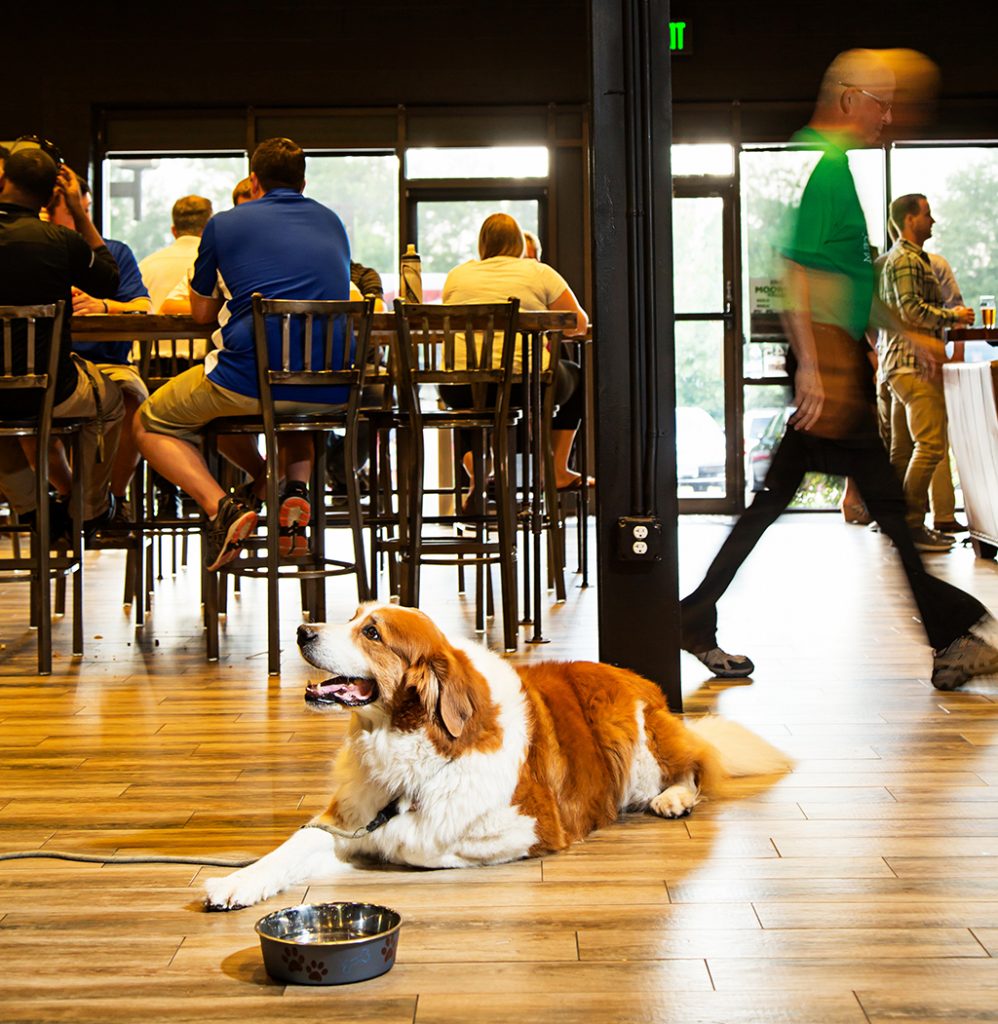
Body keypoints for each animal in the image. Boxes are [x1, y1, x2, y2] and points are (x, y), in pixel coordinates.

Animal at [202, 602, 790, 909]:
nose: (302, 629)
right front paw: (238, 881)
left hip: (636, 740)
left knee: (694, 764)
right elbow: (294, 844)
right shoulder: (347, 815)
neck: (411, 746)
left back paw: (674, 798)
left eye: (371, 632)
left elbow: (427, 845)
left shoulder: (536, 825)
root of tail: (632, 674)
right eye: (351, 616)